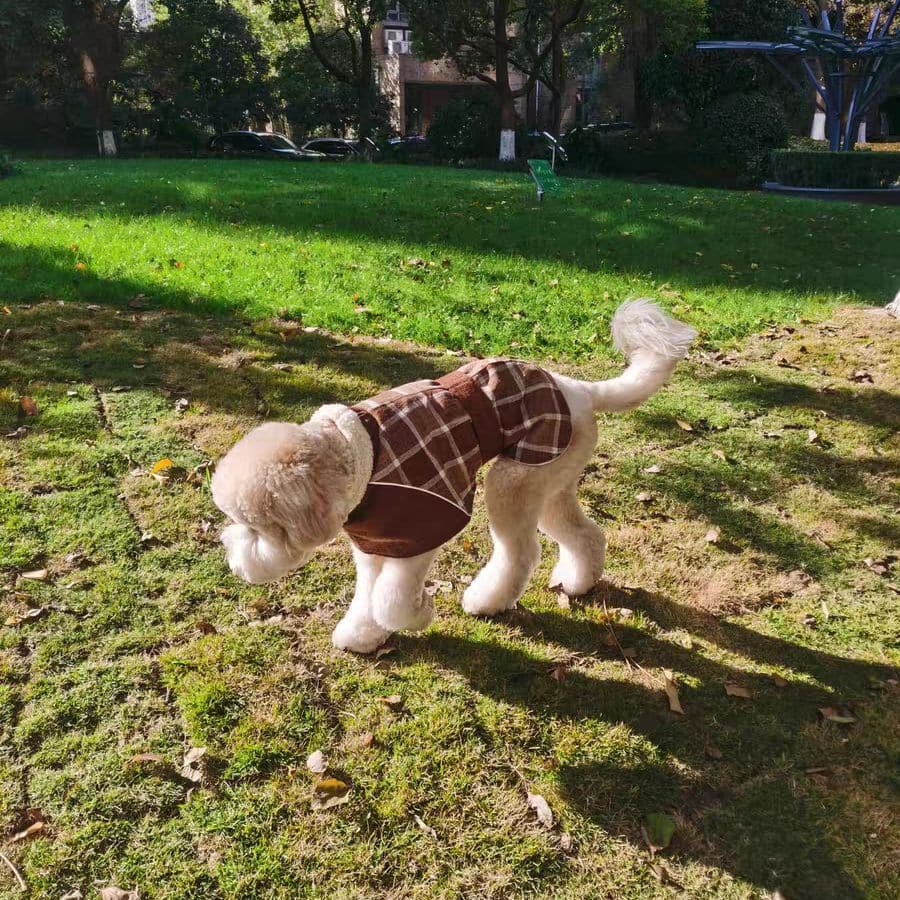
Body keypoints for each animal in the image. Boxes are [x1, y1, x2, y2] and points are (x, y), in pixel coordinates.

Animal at [211, 300, 696, 652]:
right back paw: (579, 582)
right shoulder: (375, 543)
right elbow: (368, 596)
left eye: (258, 527)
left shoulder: (419, 533)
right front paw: (362, 636)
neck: (354, 457)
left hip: (514, 482)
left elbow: (390, 600)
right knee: (584, 534)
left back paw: (487, 601)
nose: (233, 558)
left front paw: (420, 613)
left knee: (520, 553)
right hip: (552, 480)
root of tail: (577, 388)